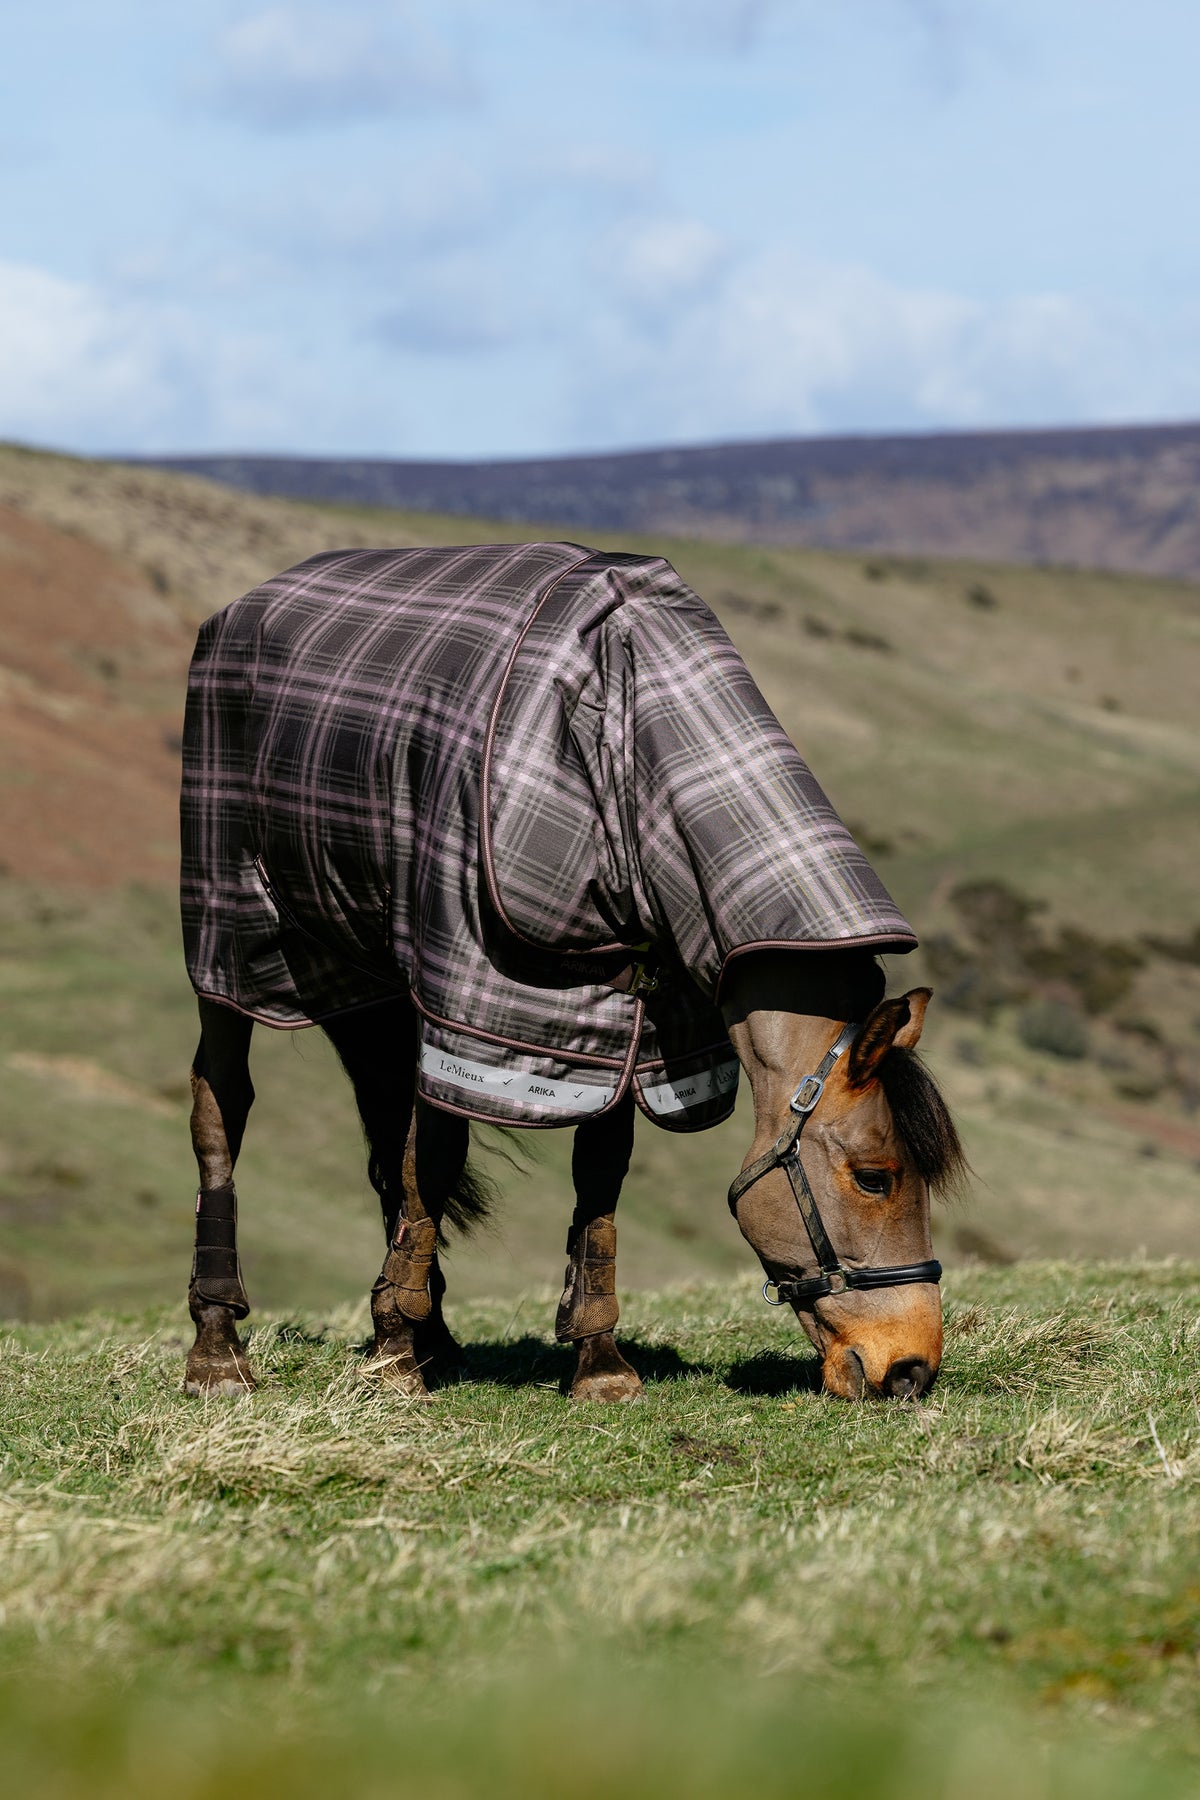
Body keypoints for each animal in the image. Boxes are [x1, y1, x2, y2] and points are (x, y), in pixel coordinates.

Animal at [180, 541, 964, 1402]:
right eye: (874, 1177)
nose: (910, 1368)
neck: (627, 746)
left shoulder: (626, 1024)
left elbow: (597, 1174)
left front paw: (595, 1364)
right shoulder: (468, 1003)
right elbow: (435, 1161)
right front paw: (393, 1364)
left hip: (378, 983)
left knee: (386, 1135)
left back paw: (434, 1337)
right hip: (233, 942)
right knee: (224, 1111)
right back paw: (218, 1350)